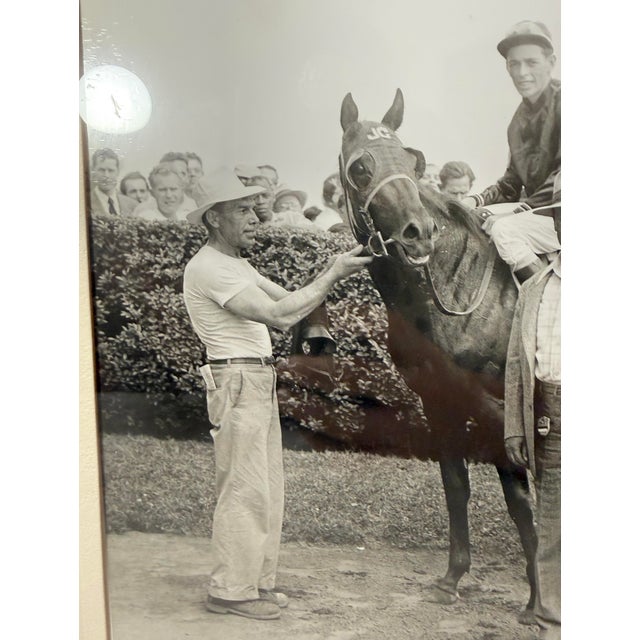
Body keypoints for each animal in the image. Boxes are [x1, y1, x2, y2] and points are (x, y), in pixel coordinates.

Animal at [293, 88, 538, 622]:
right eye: (361, 166)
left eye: (412, 160)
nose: (419, 232)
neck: (459, 292)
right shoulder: (441, 401)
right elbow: (455, 485)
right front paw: (452, 578)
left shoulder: (504, 413)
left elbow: (522, 502)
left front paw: (537, 601)